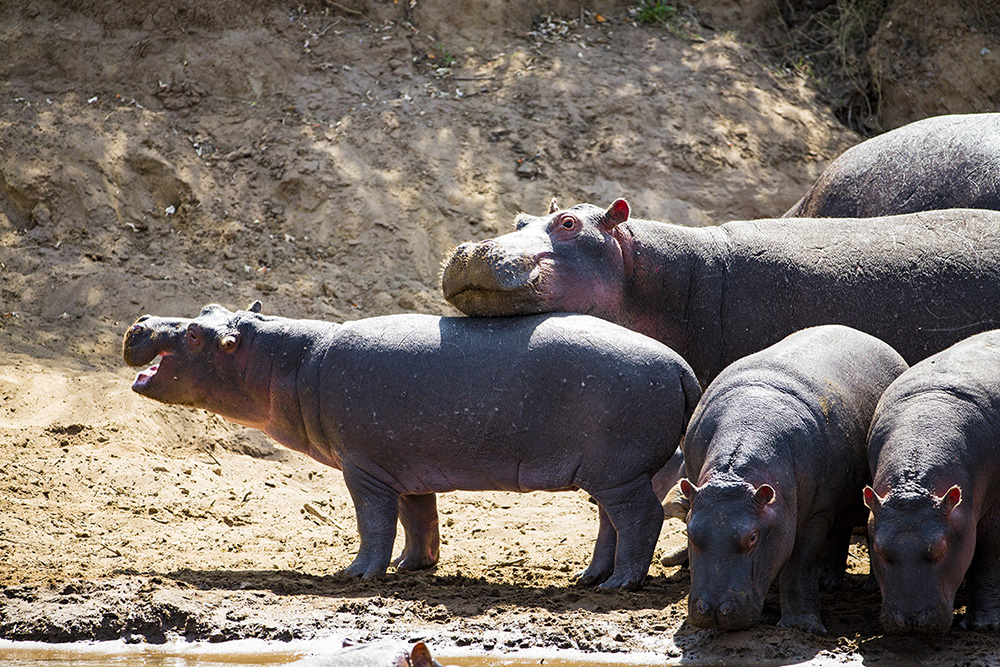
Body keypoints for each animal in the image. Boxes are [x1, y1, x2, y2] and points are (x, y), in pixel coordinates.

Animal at [121, 302, 700, 588]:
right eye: (208, 306)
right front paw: (412, 568)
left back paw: (618, 586)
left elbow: (373, 523)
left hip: (619, 472)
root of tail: (681, 365)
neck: (291, 360)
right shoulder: (404, 465)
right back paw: (589, 577)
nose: (140, 324)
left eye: (195, 334)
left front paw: (356, 574)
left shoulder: (362, 469)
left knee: (640, 519)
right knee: (611, 523)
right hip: (608, 472)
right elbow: (418, 518)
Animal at [680, 326, 908, 636]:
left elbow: (800, 565)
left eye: (752, 537)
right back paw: (827, 582)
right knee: (840, 532)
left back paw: (869, 587)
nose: (713, 611)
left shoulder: (816, 513)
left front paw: (802, 626)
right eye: (690, 532)